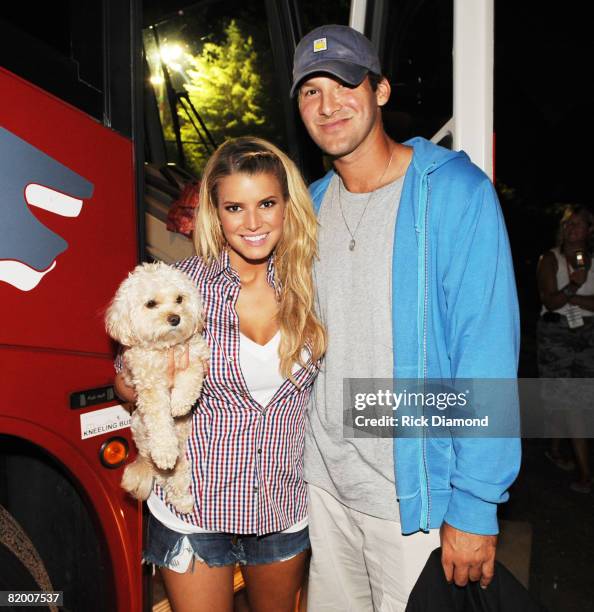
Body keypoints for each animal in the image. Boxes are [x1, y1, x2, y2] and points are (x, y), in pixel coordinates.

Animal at [104, 260, 208, 512]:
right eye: (151, 303)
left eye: (179, 298)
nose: (175, 318)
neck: (166, 348)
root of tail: (142, 454)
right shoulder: (149, 386)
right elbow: (160, 419)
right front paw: (165, 451)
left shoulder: (194, 356)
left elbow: (190, 381)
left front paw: (179, 404)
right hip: (142, 433)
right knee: (161, 471)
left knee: (177, 476)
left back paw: (182, 500)